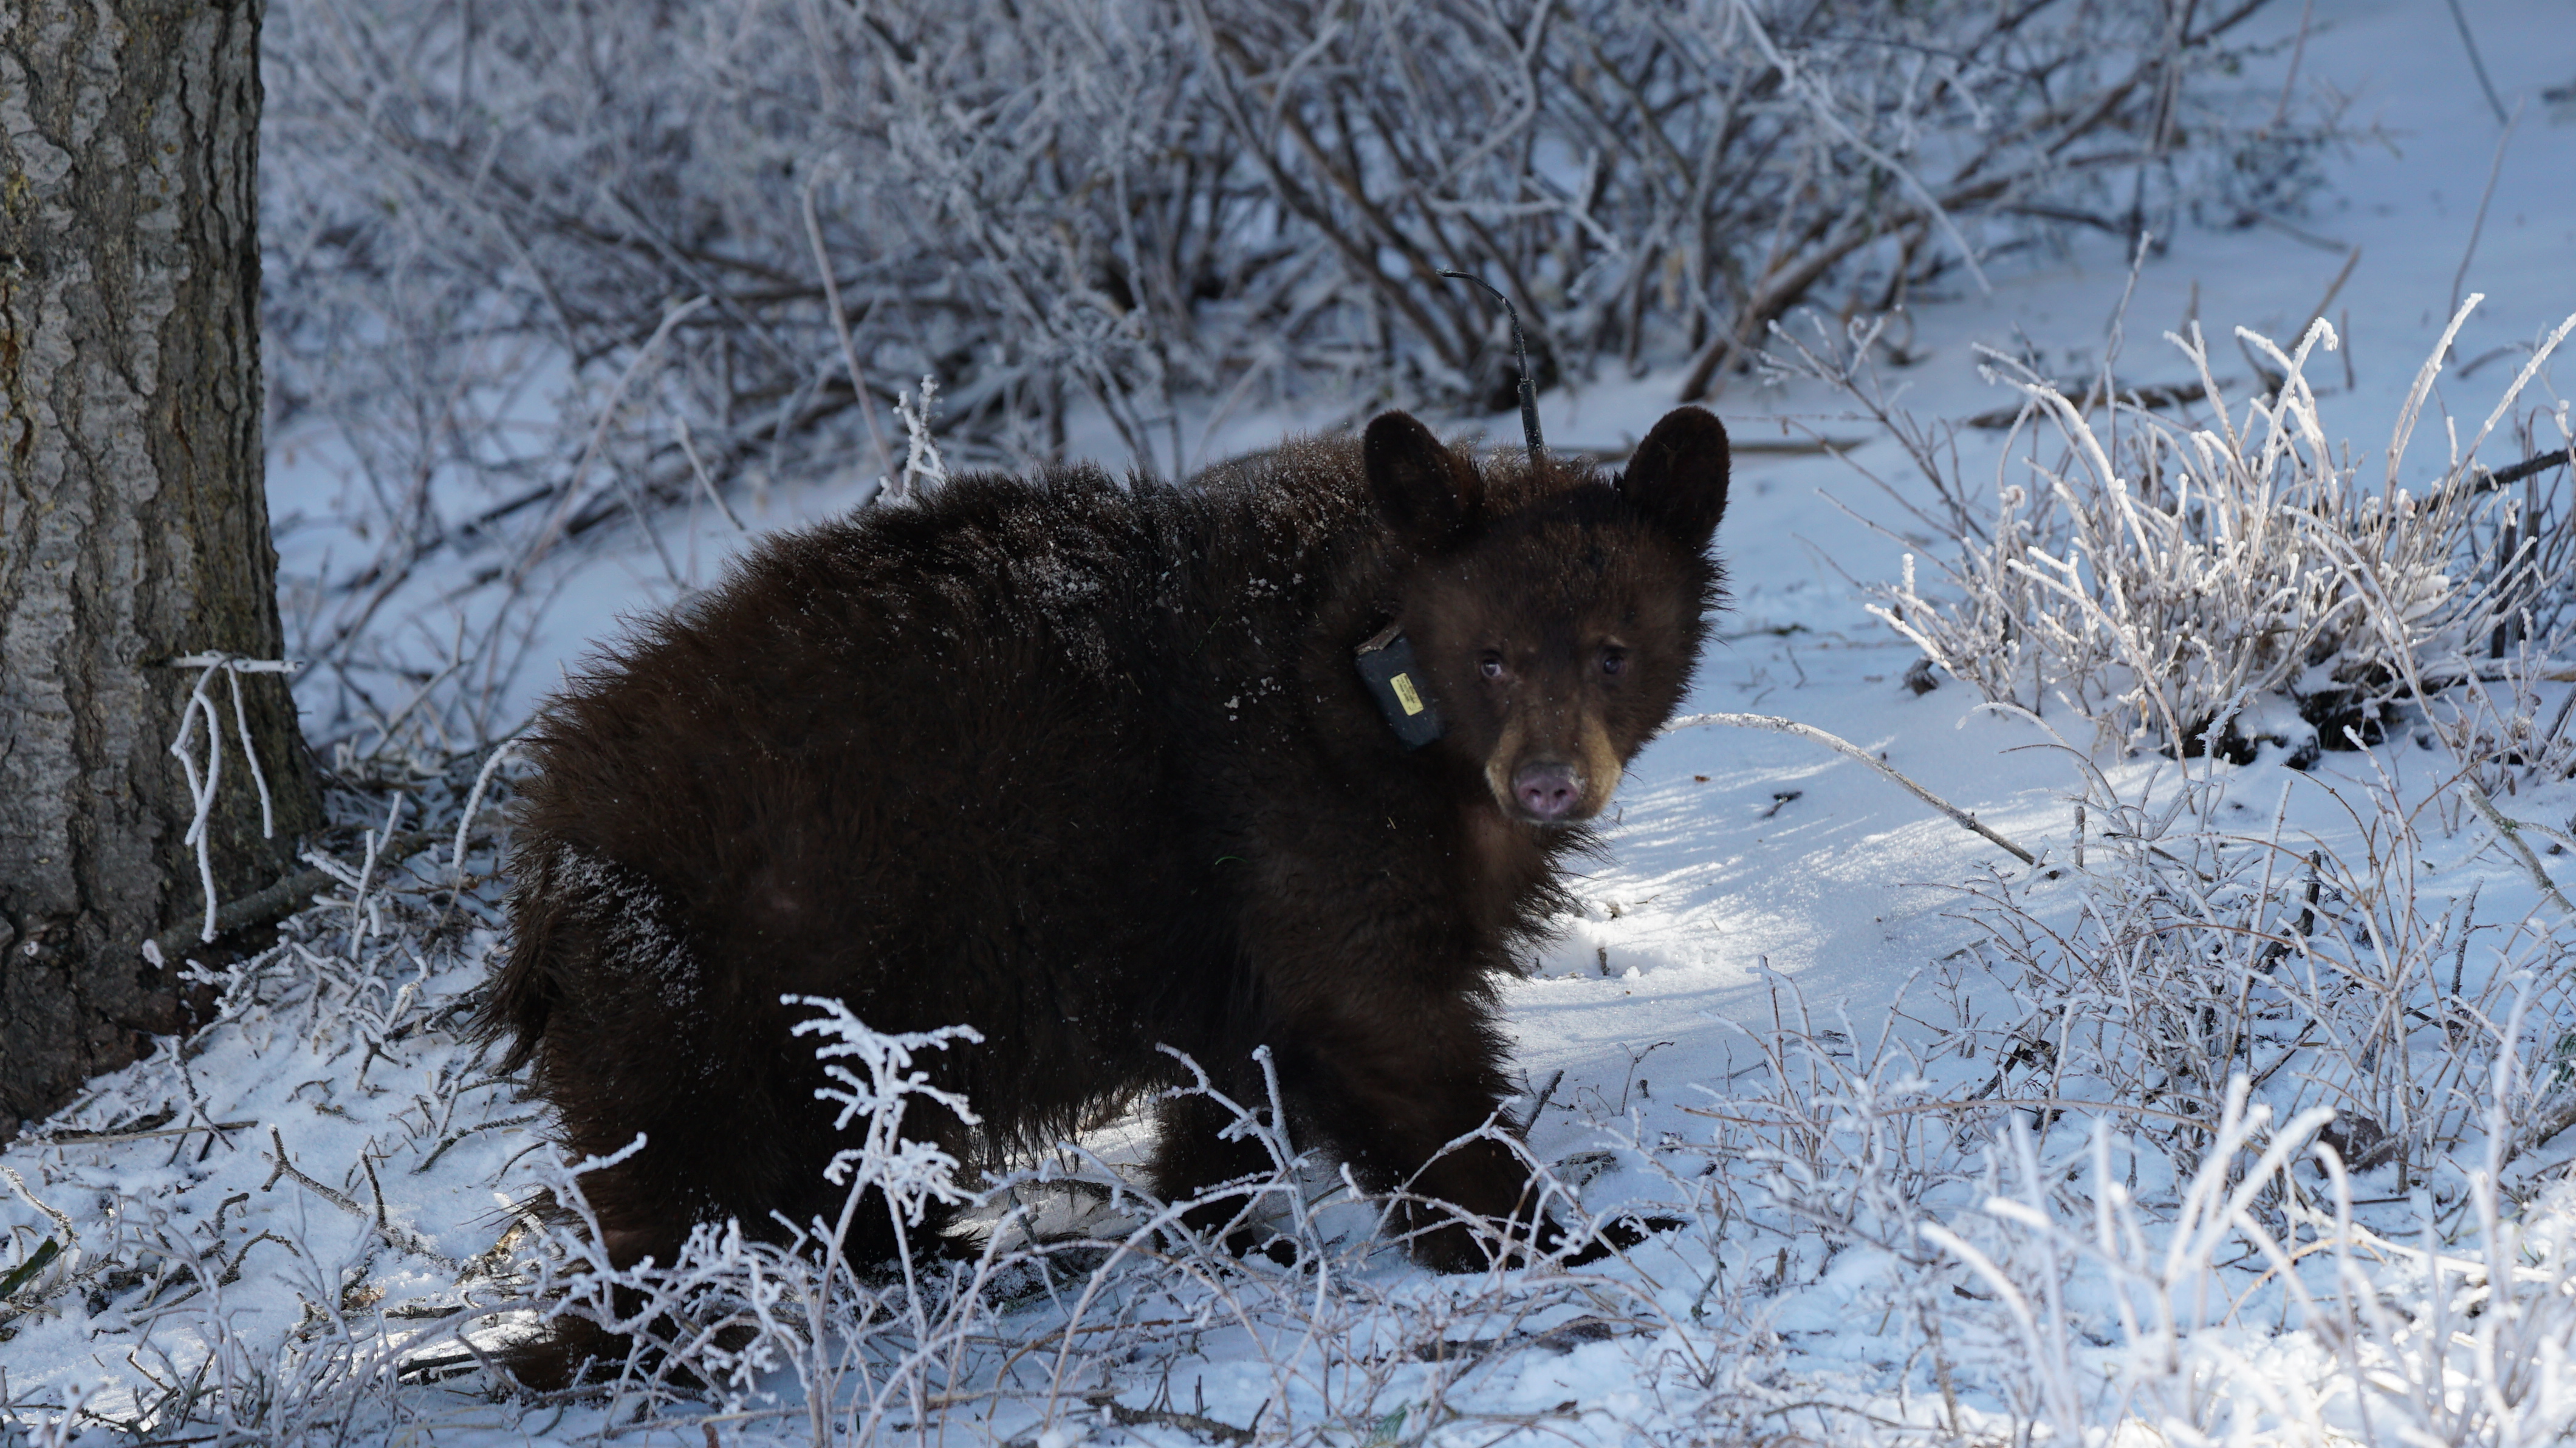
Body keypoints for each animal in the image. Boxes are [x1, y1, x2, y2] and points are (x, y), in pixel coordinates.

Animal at [478, 405, 1729, 1381]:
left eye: (1612, 651)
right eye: (1494, 656)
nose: (1548, 782)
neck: (1388, 703)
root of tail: (545, 849)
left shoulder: (1243, 934)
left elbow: (1240, 1079)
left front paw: (1218, 1229)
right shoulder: (1297, 817)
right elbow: (1391, 1037)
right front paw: (1563, 1234)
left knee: (846, 1164)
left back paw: (940, 1259)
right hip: (717, 991)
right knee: (678, 1196)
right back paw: (630, 1350)